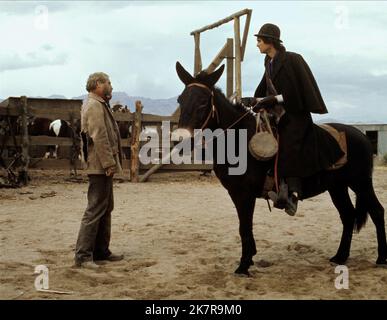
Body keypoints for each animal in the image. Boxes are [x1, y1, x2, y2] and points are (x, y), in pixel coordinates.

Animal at [177, 62, 387, 276]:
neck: (238, 141)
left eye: (203, 103)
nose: (179, 140)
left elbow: (245, 227)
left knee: (377, 211)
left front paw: (243, 265)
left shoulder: (245, 195)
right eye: (180, 100)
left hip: (361, 182)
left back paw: (381, 258)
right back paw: (340, 256)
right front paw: (249, 259)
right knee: (348, 215)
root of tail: (362, 136)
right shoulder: (236, 193)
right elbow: (244, 227)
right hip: (337, 187)